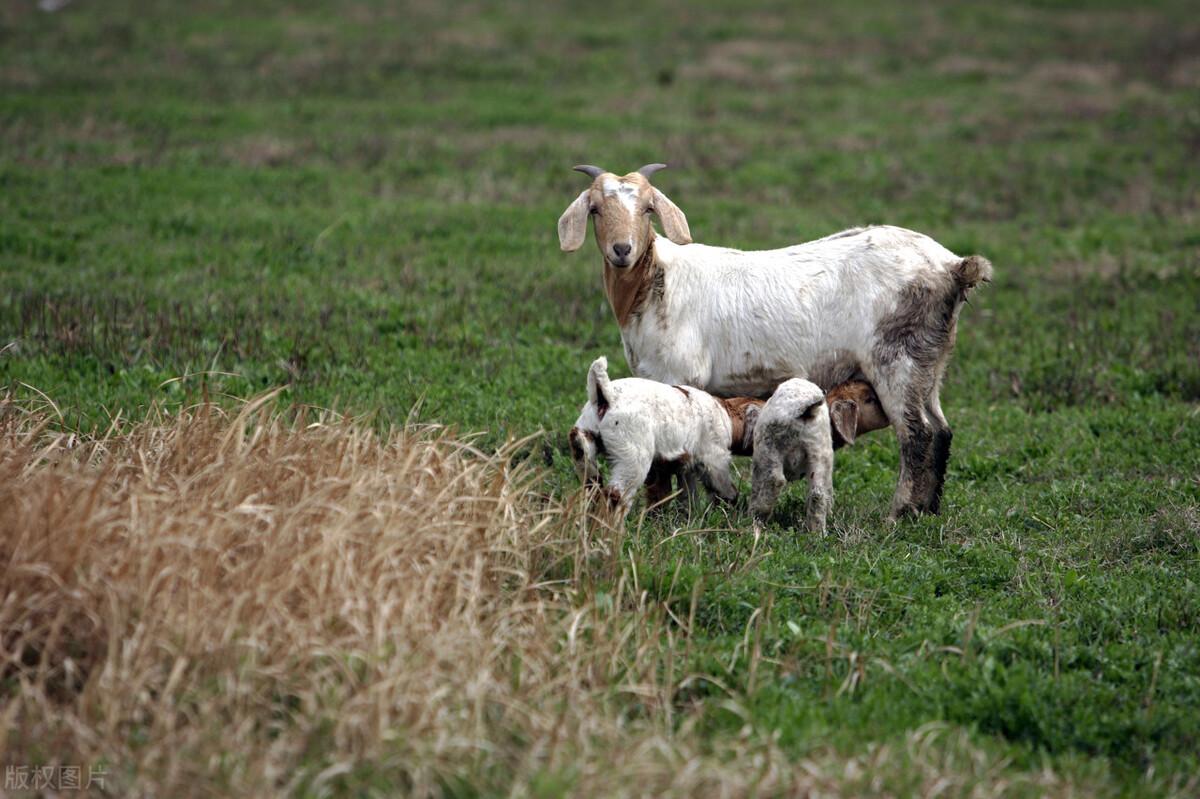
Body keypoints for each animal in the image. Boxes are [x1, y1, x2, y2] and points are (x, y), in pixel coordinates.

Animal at [556, 164, 988, 520]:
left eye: (648, 209)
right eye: (595, 209)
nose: (622, 250)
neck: (653, 281)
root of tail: (954, 267)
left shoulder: (680, 375)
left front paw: (679, 510)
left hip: (898, 357)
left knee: (917, 435)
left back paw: (897, 515)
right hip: (931, 361)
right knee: (942, 430)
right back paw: (927, 511)